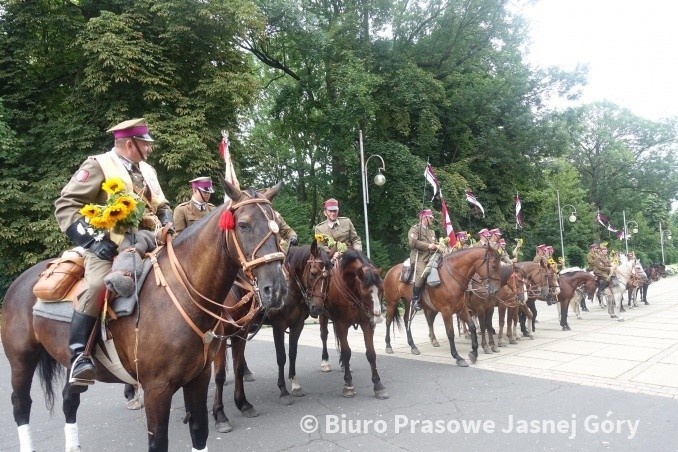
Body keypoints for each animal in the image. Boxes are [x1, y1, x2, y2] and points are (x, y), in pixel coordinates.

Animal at [0, 181, 288, 452]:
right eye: (244, 224)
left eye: (277, 225)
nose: (276, 289)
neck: (179, 296)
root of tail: (22, 281)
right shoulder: (157, 390)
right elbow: (158, 441)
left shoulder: (198, 379)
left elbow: (200, 431)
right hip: (21, 360)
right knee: (21, 404)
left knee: (69, 400)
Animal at [210, 242, 332, 432]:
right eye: (313, 273)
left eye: (330, 276)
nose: (317, 308)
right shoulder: (278, 326)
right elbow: (281, 357)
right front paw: (283, 391)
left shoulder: (297, 325)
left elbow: (292, 354)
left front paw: (294, 383)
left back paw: (247, 372)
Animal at [314, 251, 388, 400]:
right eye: (365, 292)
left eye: (381, 289)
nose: (377, 317)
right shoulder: (341, 323)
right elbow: (347, 352)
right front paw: (348, 384)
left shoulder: (367, 323)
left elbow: (371, 353)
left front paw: (378, 385)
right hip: (323, 315)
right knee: (324, 335)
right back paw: (325, 361)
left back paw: (344, 364)